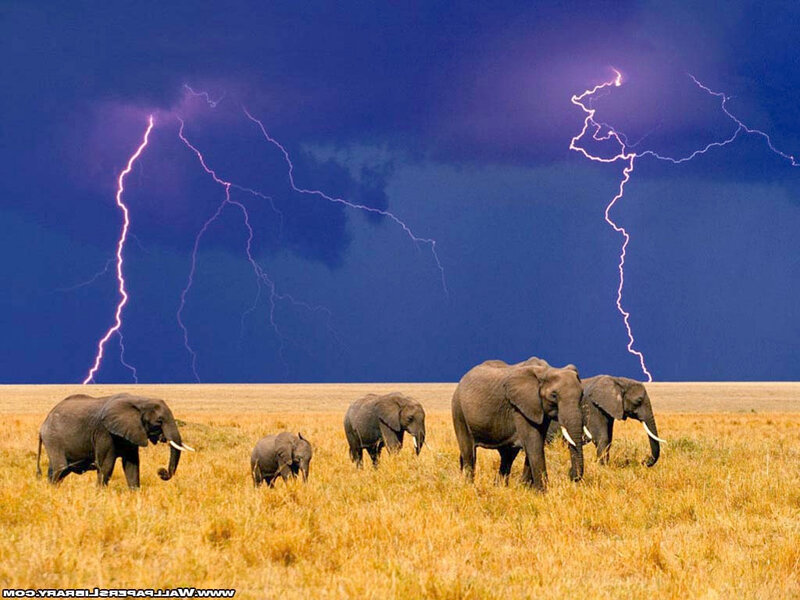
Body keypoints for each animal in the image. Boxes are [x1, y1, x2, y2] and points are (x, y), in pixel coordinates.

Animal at [37, 393, 193, 488]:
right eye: (159, 421)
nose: (161, 472)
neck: (140, 400)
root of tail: (43, 424)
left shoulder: (132, 431)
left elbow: (132, 464)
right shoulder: (104, 432)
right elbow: (106, 465)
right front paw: (100, 495)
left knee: (57, 470)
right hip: (53, 439)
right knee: (60, 467)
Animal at [451, 356, 585, 490]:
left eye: (582, 394)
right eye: (554, 395)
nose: (571, 474)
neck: (546, 370)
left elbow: (536, 443)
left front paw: (525, 489)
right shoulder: (520, 406)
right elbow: (534, 444)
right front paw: (542, 492)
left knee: (507, 456)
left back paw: (500, 488)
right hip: (459, 411)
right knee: (469, 453)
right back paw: (469, 487)